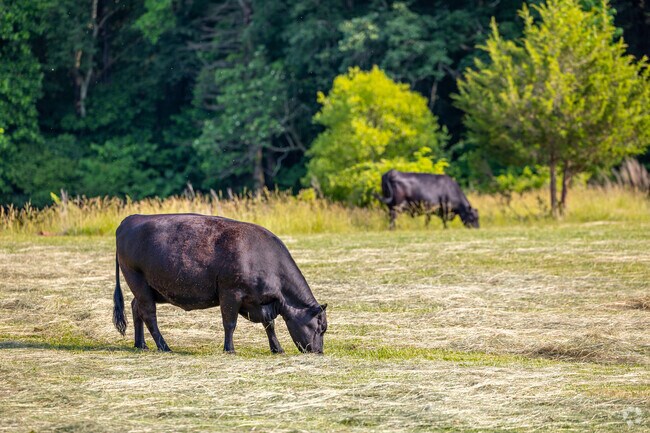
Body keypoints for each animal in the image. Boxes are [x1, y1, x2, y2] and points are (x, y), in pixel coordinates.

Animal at [112, 214, 327, 354]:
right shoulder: (230, 293)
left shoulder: (261, 302)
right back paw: (164, 346)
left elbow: (269, 325)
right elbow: (230, 323)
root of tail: (130, 219)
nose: (319, 352)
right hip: (137, 281)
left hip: (147, 289)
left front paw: (277, 348)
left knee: (136, 308)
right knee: (149, 315)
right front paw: (229, 349)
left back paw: (140, 344)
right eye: (320, 327)